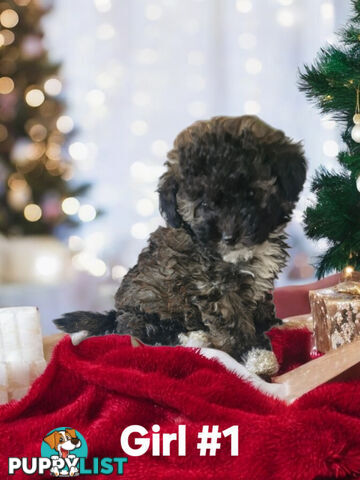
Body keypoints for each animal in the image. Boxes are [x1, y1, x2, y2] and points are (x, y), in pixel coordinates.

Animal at [54, 115, 306, 376]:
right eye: (204, 204)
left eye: (251, 194)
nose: (229, 236)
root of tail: (115, 314)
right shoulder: (214, 288)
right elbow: (234, 321)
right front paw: (255, 355)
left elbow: (261, 302)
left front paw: (272, 323)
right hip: (146, 307)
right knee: (148, 332)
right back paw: (194, 337)